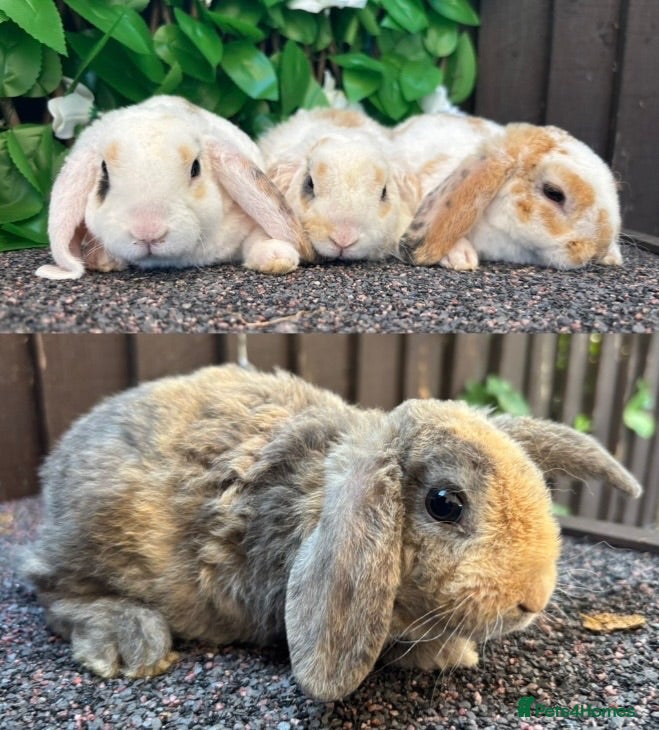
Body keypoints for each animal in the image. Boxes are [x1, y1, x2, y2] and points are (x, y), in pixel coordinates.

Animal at [22, 364, 642, 701]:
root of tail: (55, 468)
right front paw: (448, 654)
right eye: (444, 503)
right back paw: (130, 643)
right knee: (52, 590)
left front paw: (451, 652)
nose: (532, 600)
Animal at [36, 95, 313, 280]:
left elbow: (257, 237)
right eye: (103, 173)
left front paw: (277, 257)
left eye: (195, 168)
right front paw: (103, 259)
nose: (148, 232)